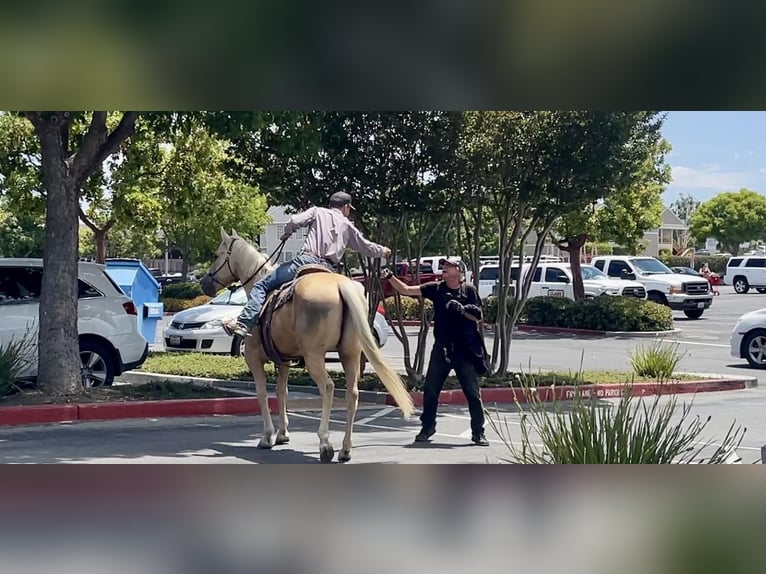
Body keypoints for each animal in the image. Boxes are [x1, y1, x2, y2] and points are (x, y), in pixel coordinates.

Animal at [200, 230, 414, 464]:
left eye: (216, 255)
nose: (204, 282)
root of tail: (342, 286)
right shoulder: (283, 360)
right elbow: (281, 392)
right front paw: (283, 433)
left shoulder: (253, 357)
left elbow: (262, 394)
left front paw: (267, 436)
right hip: (350, 354)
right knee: (352, 394)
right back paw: (345, 449)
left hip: (314, 356)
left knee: (328, 388)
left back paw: (325, 444)